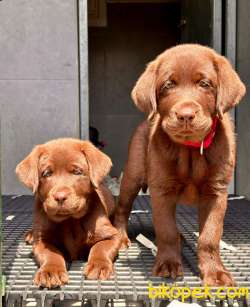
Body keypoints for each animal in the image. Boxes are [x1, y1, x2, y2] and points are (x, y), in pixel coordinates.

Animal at [15, 139, 121, 288]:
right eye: (47, 173)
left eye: (77, 172)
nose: (60, 196)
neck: (70, 220)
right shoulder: (42, 241)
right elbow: (51, 254)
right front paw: (50, 271)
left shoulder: (111, 235)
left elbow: (101, 247)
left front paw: (99, 265)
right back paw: (30, 234)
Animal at [114, 44, 246, 288]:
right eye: (168, 85)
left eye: (205, 84)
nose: (185, 115)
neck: (190, 149)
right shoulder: (162, 190)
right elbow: (166, 230)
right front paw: (167, 265)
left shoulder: (217, 193)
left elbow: (210, 236)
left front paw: (215, 271)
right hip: (132, 176)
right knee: (122, 208)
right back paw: (120, 236)